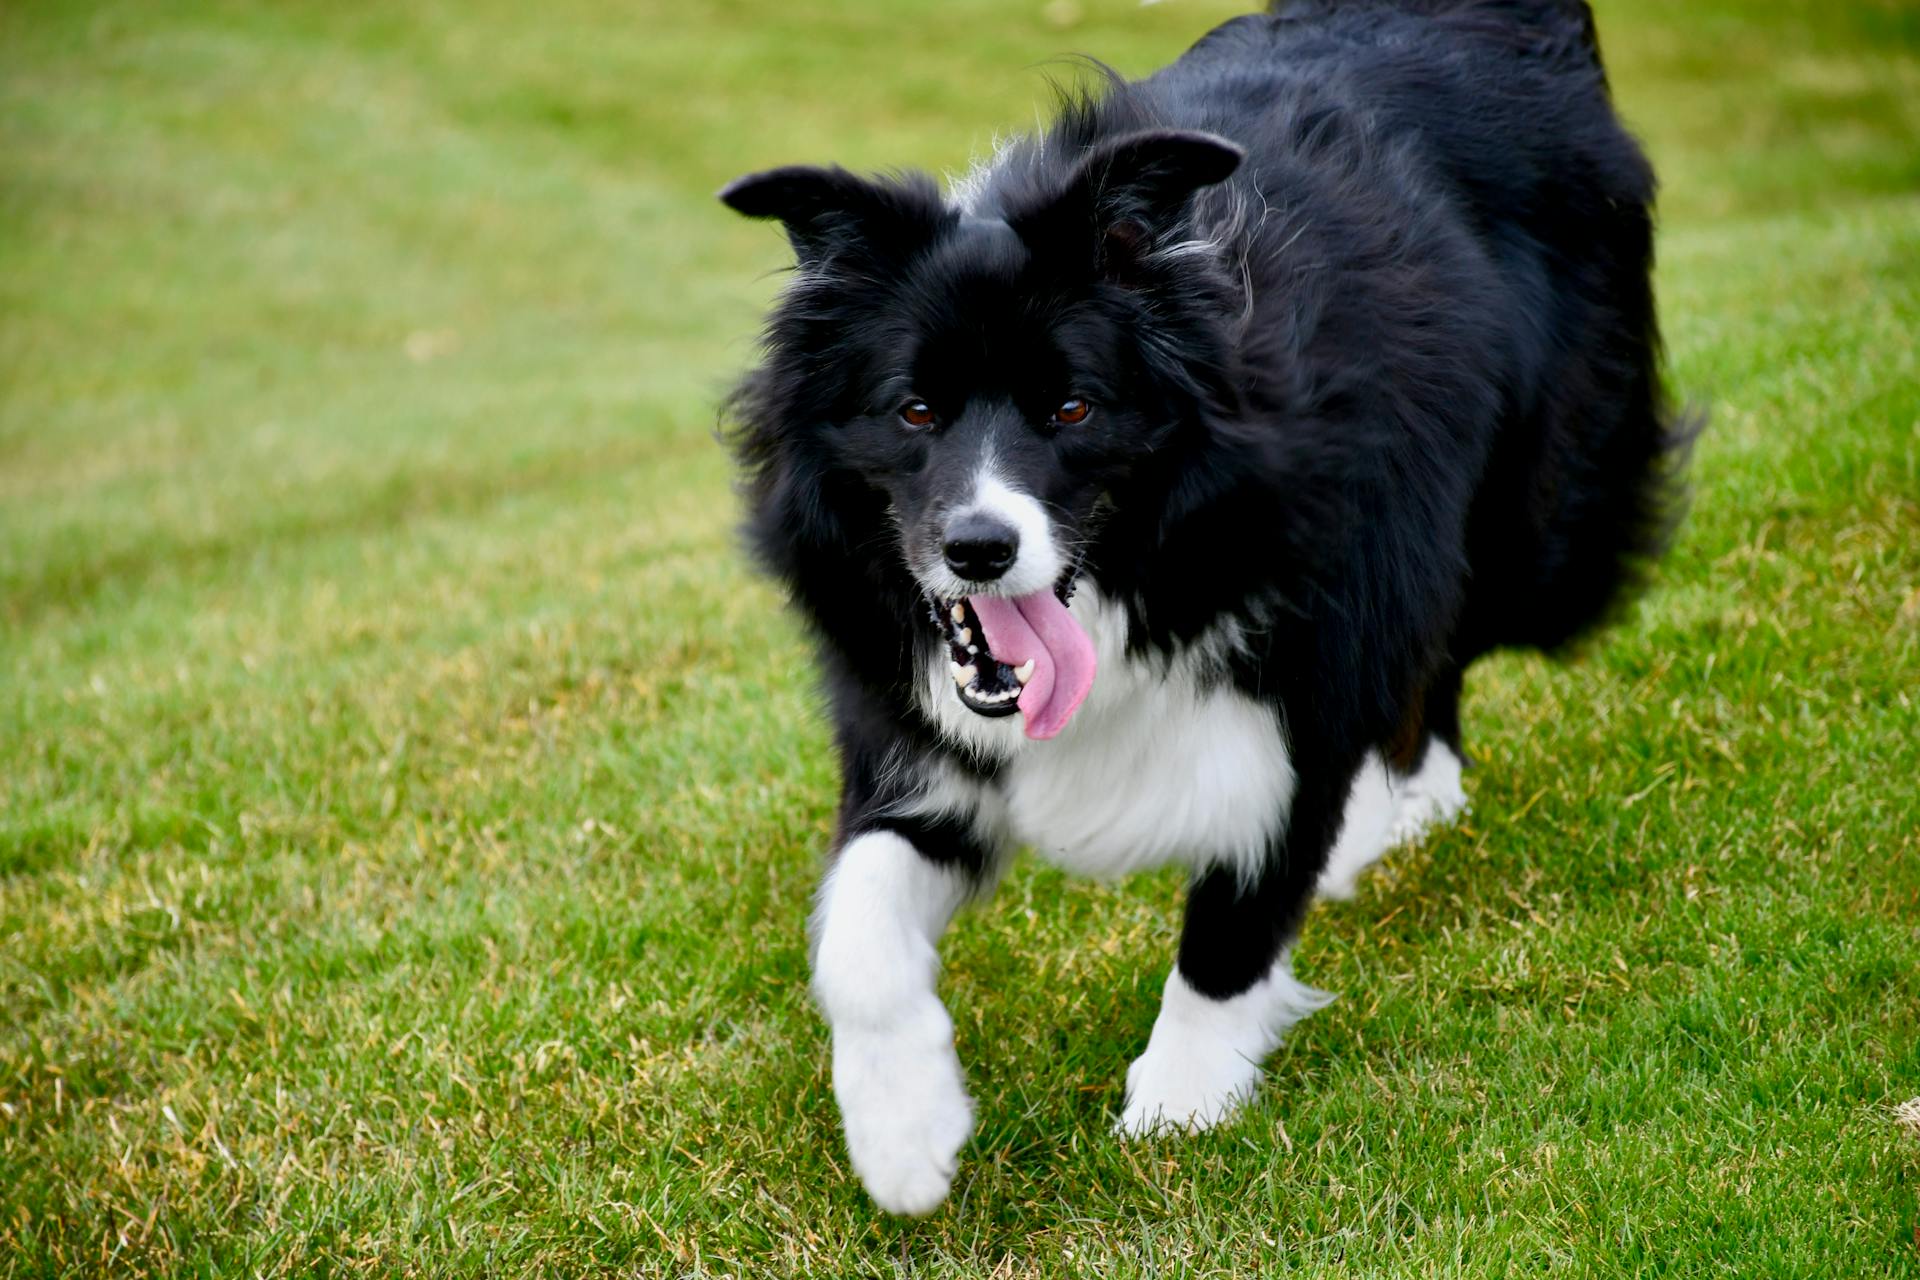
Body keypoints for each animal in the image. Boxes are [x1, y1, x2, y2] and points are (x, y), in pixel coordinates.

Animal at [714, 0, 1689, 1220]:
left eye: (1073, 407)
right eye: (915, 410)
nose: (979, 549)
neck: (1147, 570)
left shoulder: (1318, 645)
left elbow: (1238, 914)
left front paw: (1177, 1108)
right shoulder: (918, 738)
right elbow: (856, 925)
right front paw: (904, 1134)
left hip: (1541, 520)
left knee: (1454, 629)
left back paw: (1399, 812)